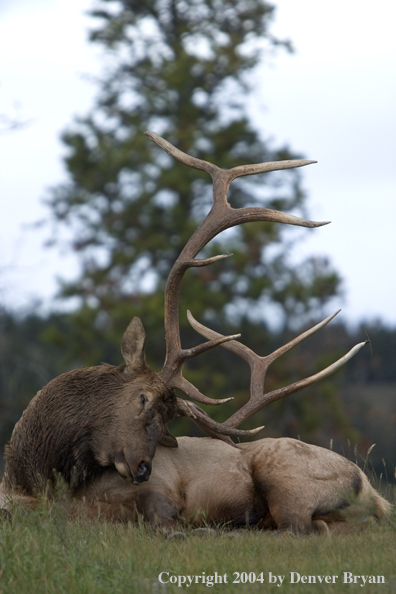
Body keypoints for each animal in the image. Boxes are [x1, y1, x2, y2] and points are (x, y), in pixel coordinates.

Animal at [0, 131, 390, 532]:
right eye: (143, 399)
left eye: (165, 420)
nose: (143, 467)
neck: (35, 482)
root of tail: (373, 493)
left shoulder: (158, 490)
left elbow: (156, 512)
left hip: (286, 474)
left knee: (303, 527)